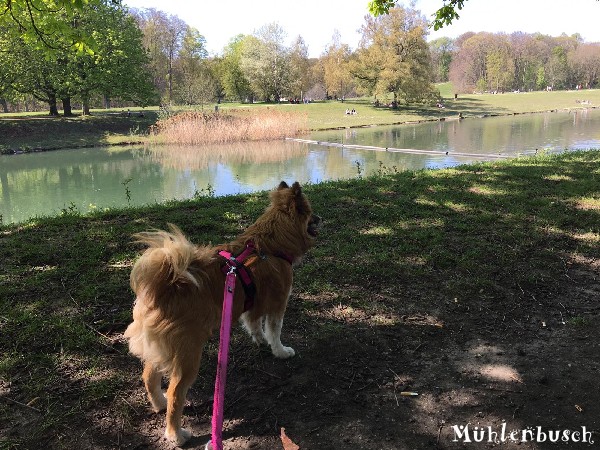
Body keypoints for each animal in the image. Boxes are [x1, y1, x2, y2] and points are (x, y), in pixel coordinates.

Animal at [122, 181, 318, 444]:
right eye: (310, 213)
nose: (320, 218)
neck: (269, 244)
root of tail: (163, 288)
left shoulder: (252, 304)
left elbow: (254, 324)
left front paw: (259, 341)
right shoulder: (278, 303)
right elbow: (274, 331)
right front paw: (280, 351)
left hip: (158, 349)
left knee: (149, 377)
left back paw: (159, 403)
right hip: (188, 354)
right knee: (176, 393)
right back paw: (176, 433)